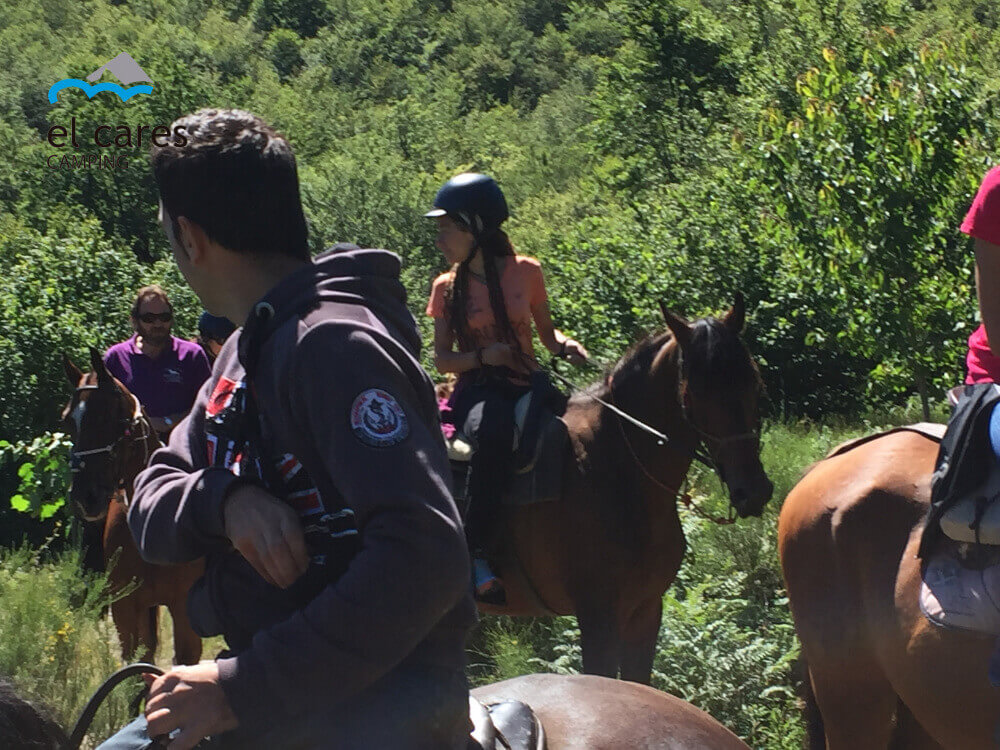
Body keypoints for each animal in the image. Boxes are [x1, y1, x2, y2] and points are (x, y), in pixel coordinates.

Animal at [61, 350, 203, 668]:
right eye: (68, 421)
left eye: (109, 417)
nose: (85, 497)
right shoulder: (126, 607)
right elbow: (138, 664)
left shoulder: (184, 610)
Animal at [482, 296, 772, 684]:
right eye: (696, 393)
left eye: (754, 382)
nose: (753, 491)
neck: (620, 469)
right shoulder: (598, 619)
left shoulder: (646, 611)